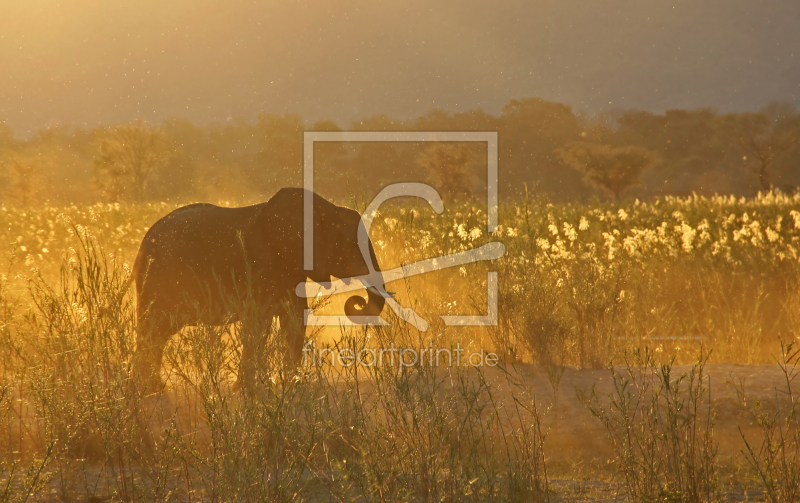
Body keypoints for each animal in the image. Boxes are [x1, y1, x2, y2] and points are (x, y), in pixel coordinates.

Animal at [127, 189, 388, 390]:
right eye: (350, 244)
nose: (357, 302)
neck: (323, 208)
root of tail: (143, 242)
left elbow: (294, 319)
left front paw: (290, 384)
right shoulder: (263, 264)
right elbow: (259, 322)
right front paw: (248, 389)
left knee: (158, 332)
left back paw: (150, 387)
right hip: (159, 278)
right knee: (154, 328)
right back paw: (147, 388)